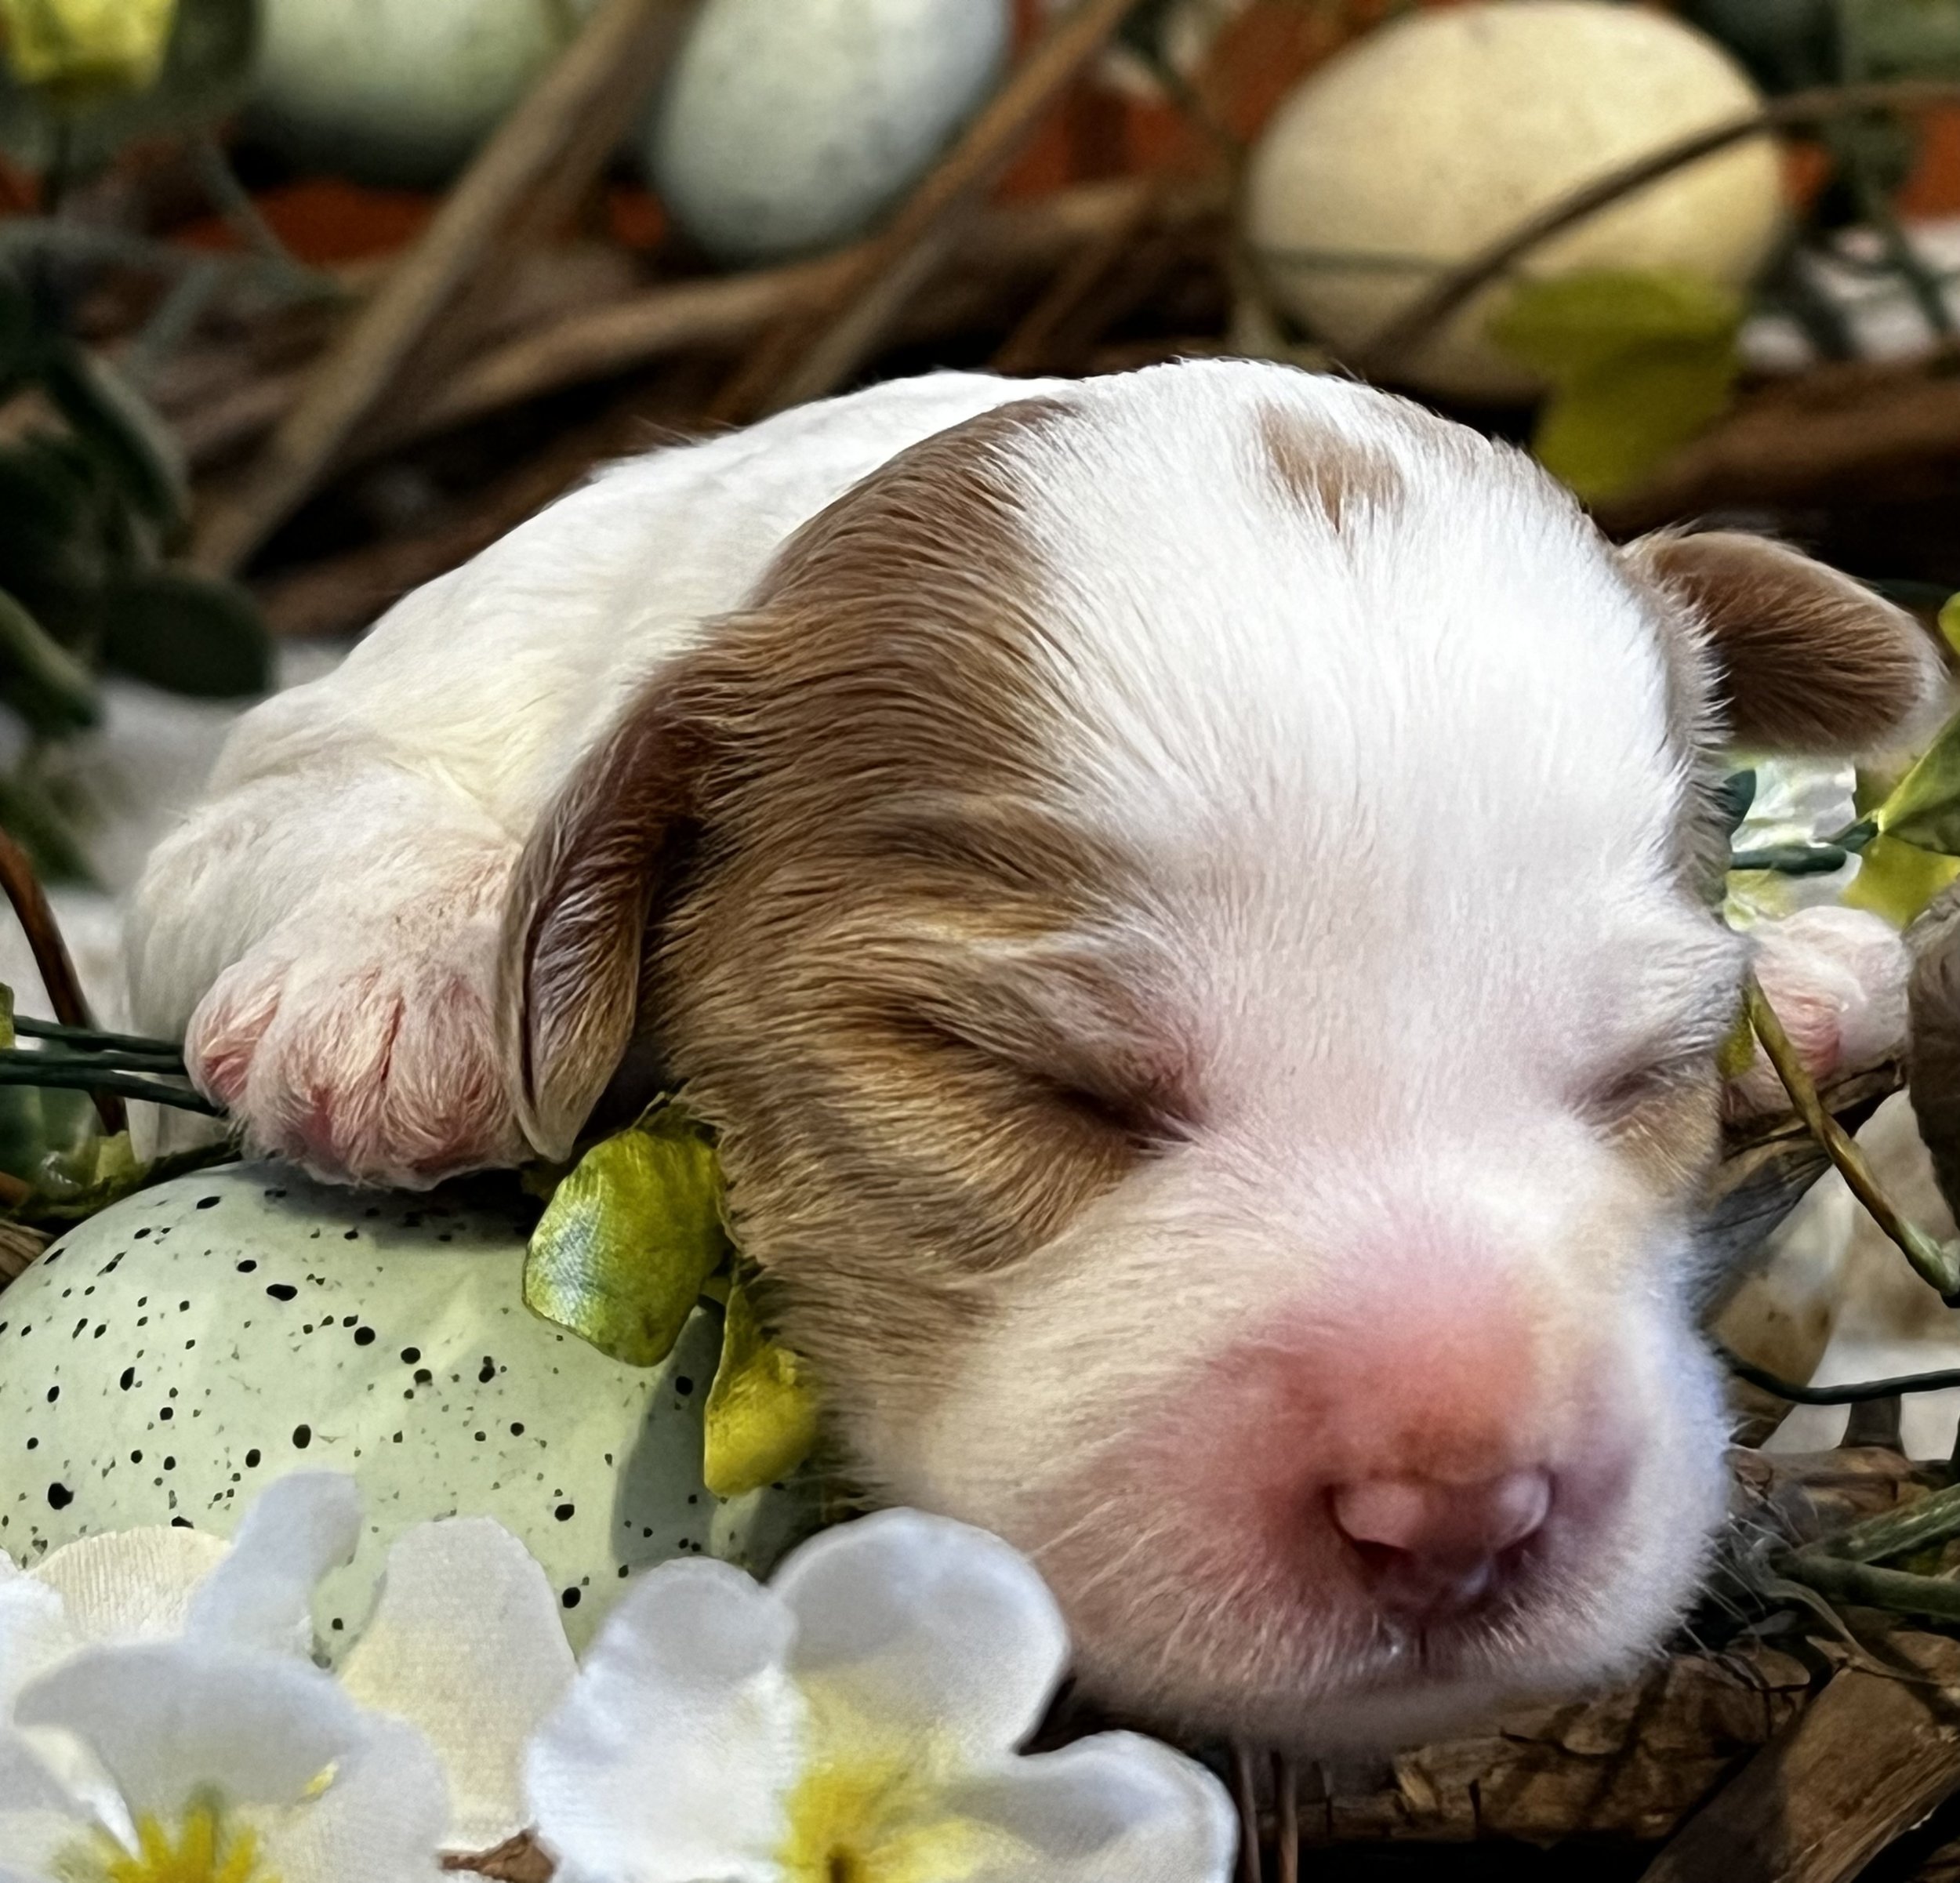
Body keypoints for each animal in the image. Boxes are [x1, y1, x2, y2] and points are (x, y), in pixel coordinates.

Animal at [126, 364, 1944, 1747]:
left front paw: (1804, 978)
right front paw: (403, 974)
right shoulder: (317, 753)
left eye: (1641, 1072)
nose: (1456, 1510)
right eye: (1041, 1085)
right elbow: (292, 804)